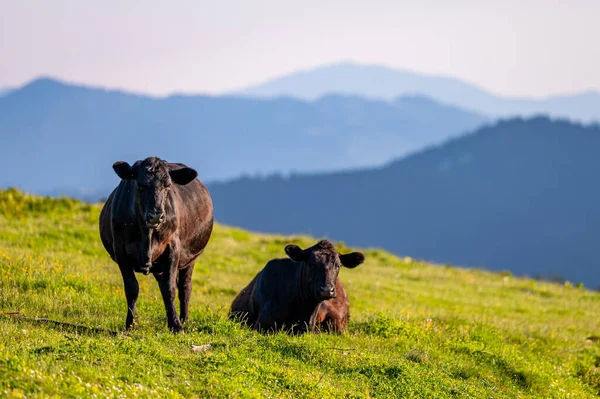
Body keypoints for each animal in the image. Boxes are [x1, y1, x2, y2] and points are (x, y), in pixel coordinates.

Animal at [101, 158, 216, 332]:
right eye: (140, 185)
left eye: (167, 185)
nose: (156, 215)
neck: (147, 235)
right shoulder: (121, 250)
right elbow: (132, 288)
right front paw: (131, 323)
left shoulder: (173, 248)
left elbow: (170, 288)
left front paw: (176, 325)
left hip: (191, 257)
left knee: (184, 287)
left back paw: (184, 320)